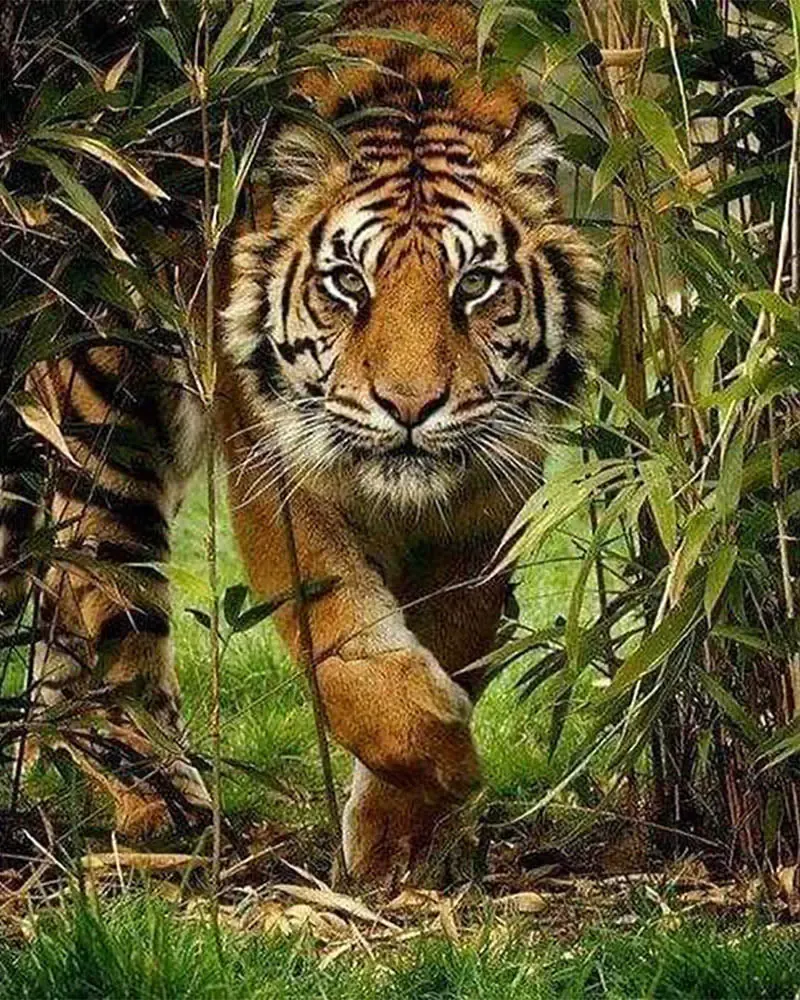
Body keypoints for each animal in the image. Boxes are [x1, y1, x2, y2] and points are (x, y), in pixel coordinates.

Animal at [1, 0, 599, 882]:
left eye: (475, 285)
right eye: (348, 282)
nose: (410, 406)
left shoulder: (491, 496)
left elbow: (456, 633)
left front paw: (399, 839)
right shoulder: (279, 469)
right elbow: (343, 637)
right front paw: (446, 760)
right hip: (105, 406)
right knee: (103, 602)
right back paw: (168, 810)